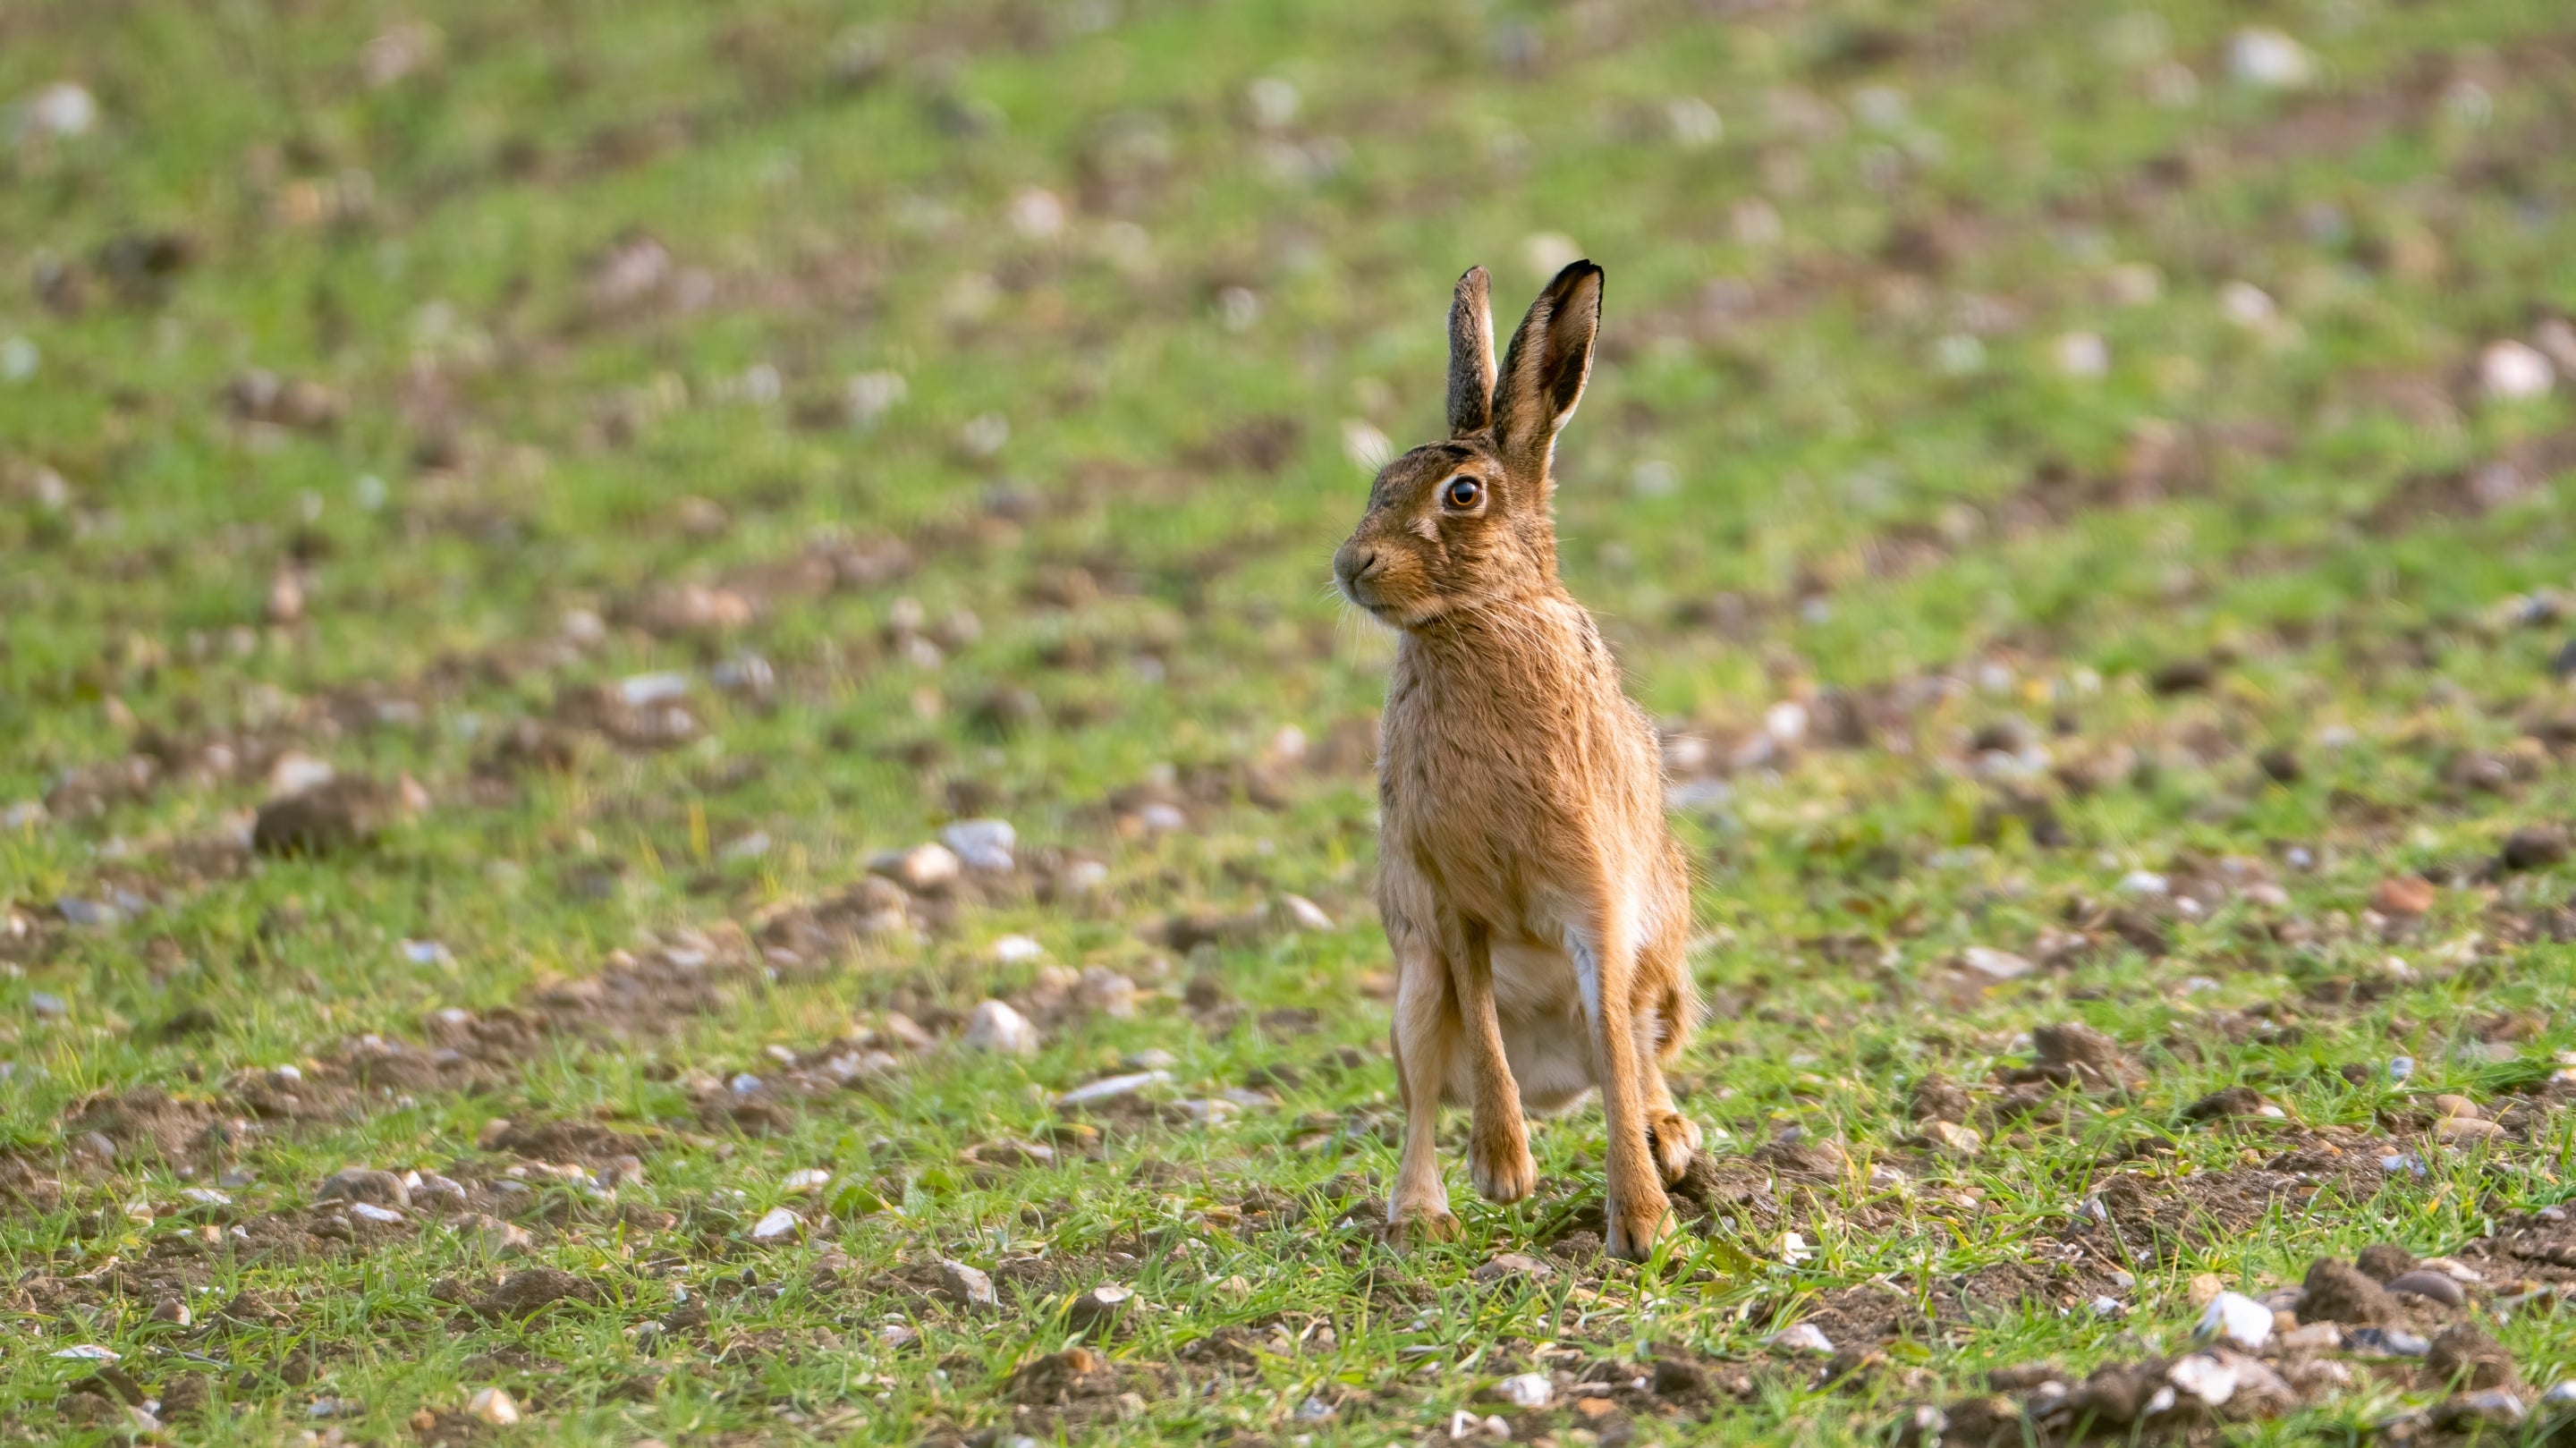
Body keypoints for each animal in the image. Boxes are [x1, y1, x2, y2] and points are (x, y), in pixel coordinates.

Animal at [1331, 260, 1702, 1259]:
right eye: (1379, 482)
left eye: (1462, 494)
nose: (1351, 564)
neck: (1482, 618)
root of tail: (1554, 1079)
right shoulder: (1452, 898)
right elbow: (1485, 1032)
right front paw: (1504, 1169)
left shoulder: (1598, 898)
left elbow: (1615, 1049)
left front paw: (1642, 1223)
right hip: (1413, 995)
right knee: (1427, 1093)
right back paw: (1421, 1212)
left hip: (1663, 978)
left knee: (1632, 1058)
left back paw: (1672, 1138)